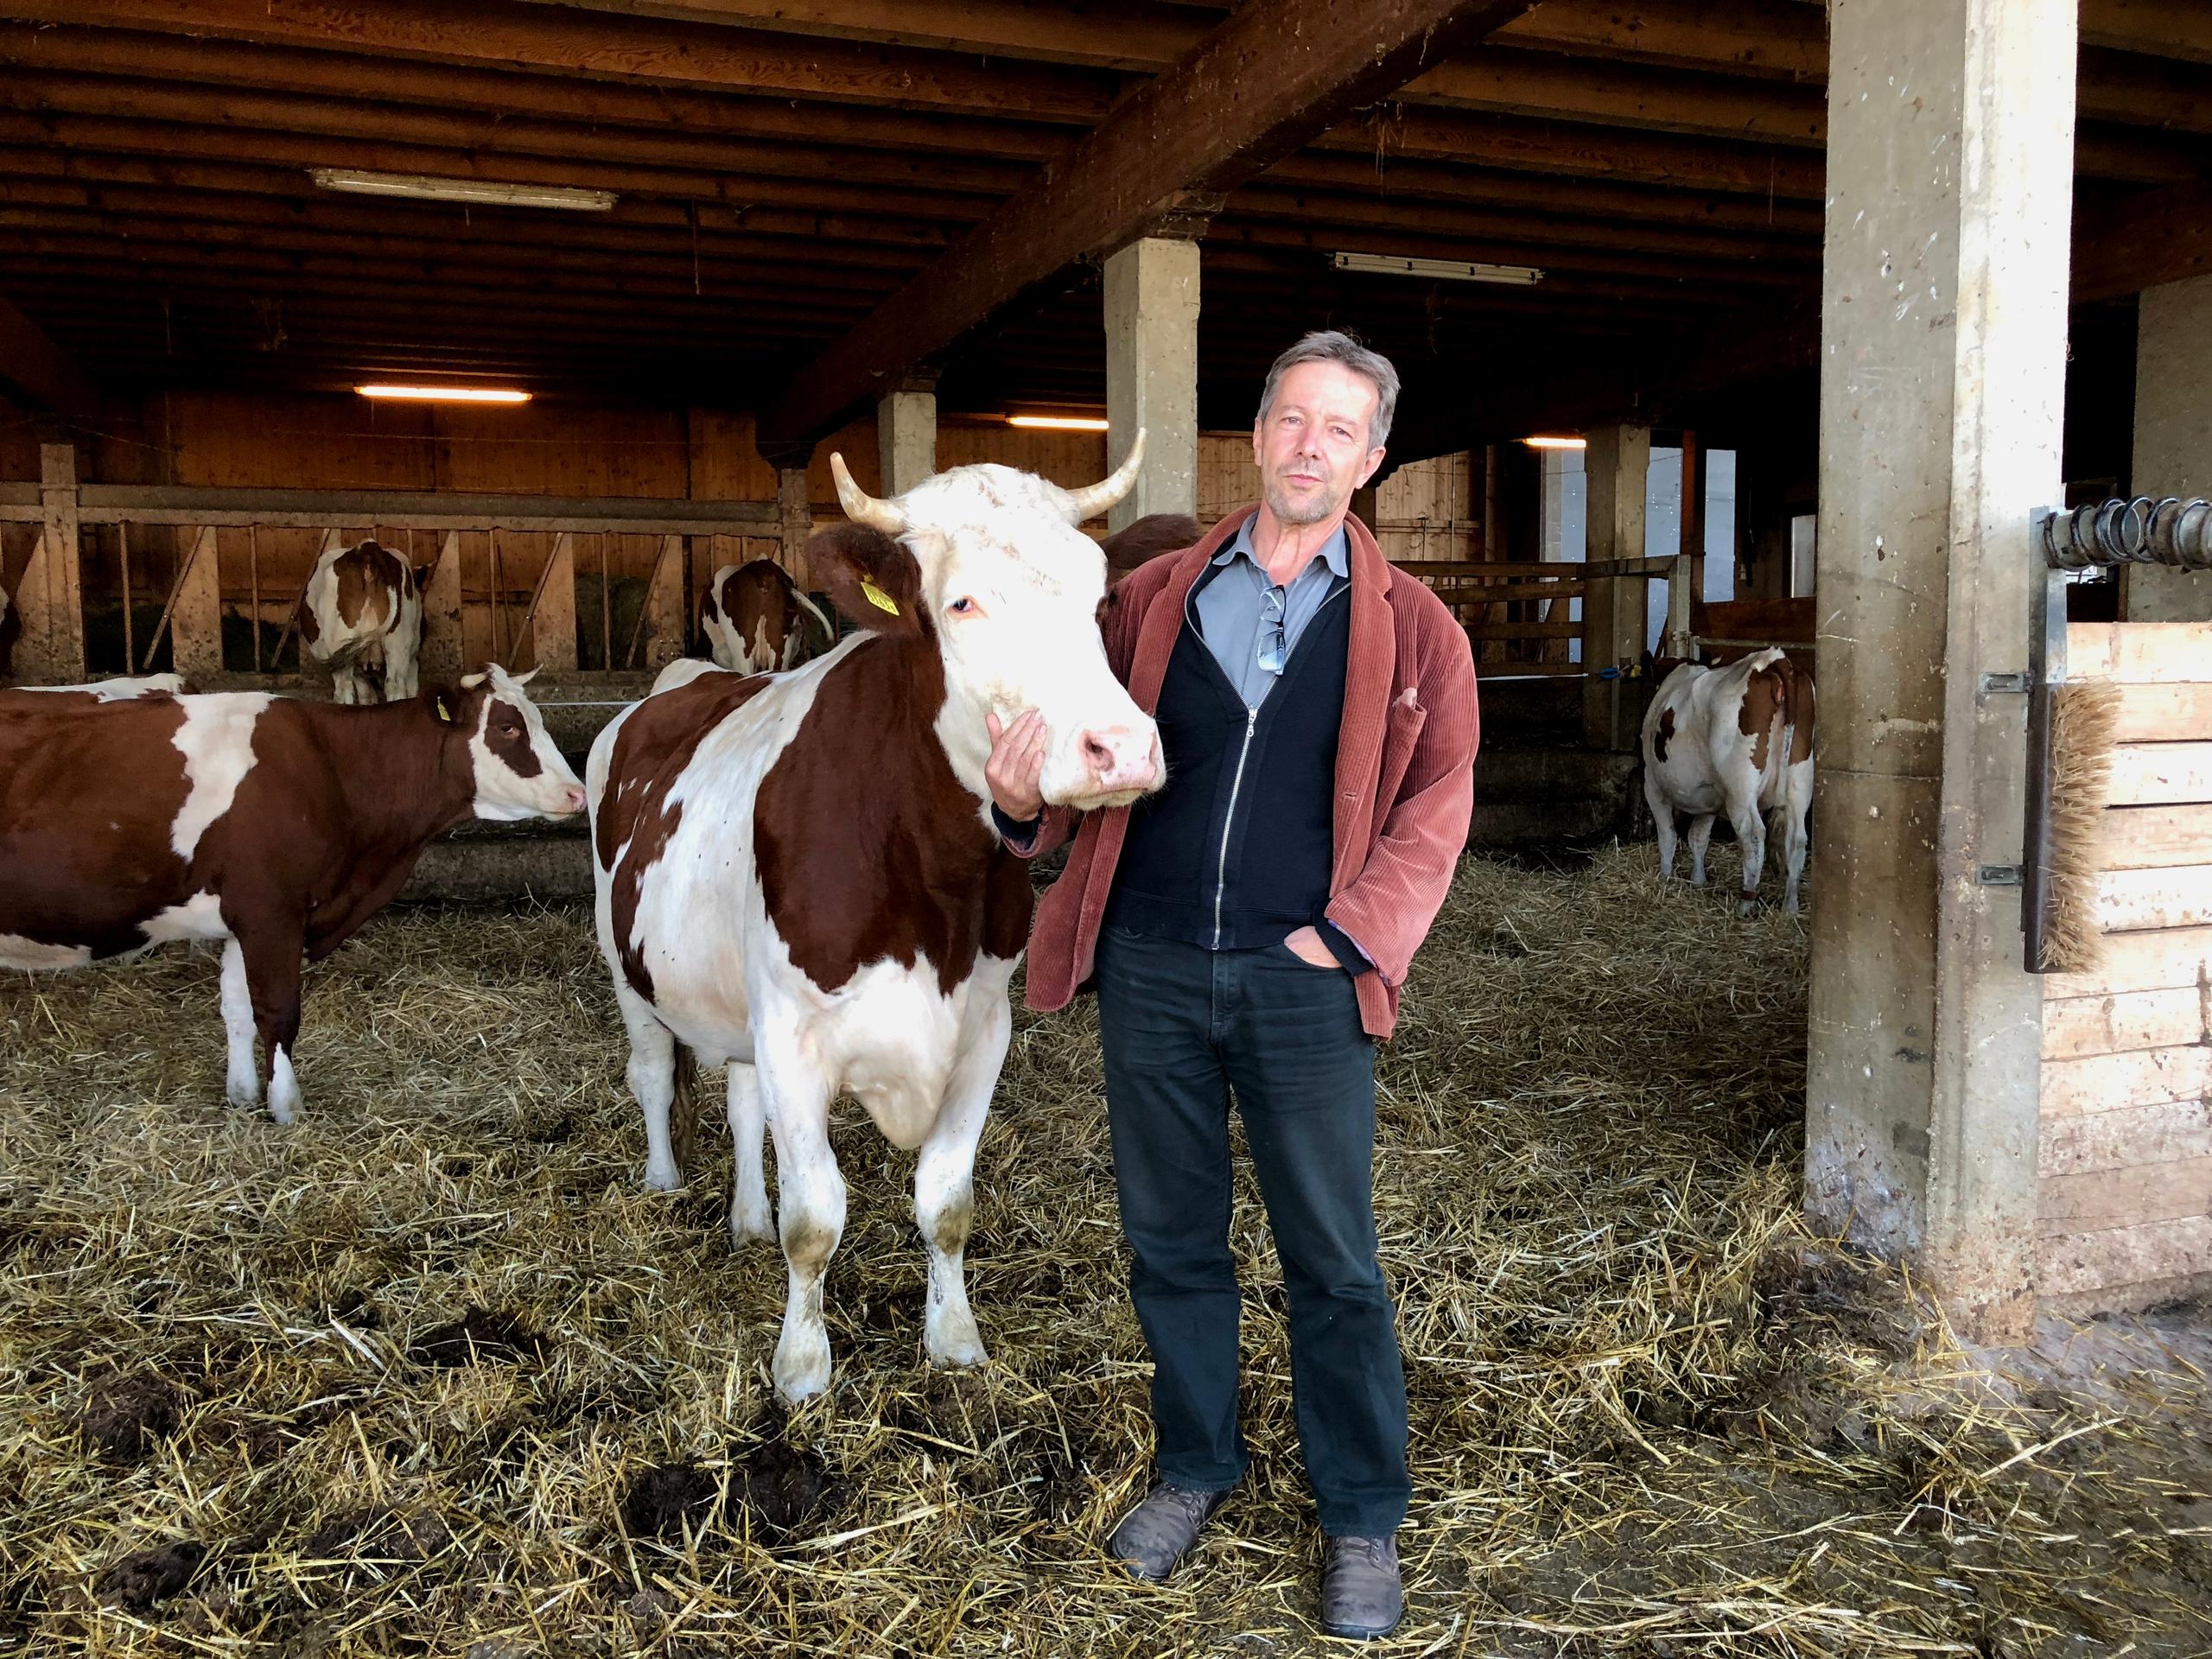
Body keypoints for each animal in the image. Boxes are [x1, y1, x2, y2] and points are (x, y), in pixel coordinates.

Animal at [0, 668, 583, 1123]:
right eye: (507, 726)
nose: (577, 792)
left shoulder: (244, 917)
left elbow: (237, 1009)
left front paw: (242, 1097)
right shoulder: (272, 911)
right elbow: (278, 1012)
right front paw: (287, 1107)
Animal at [1645, 641, 1814, 915]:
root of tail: (1771, 659)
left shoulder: (1653, 786)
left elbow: (1668, 836)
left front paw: (1665, 879)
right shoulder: (1708, 797)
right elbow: (1698, 837)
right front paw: (1698, 881)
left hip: (1740, 788)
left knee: (1753, 834)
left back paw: (1747, 902)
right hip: (1800, 778)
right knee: (1796, 838)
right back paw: (1790, 907)